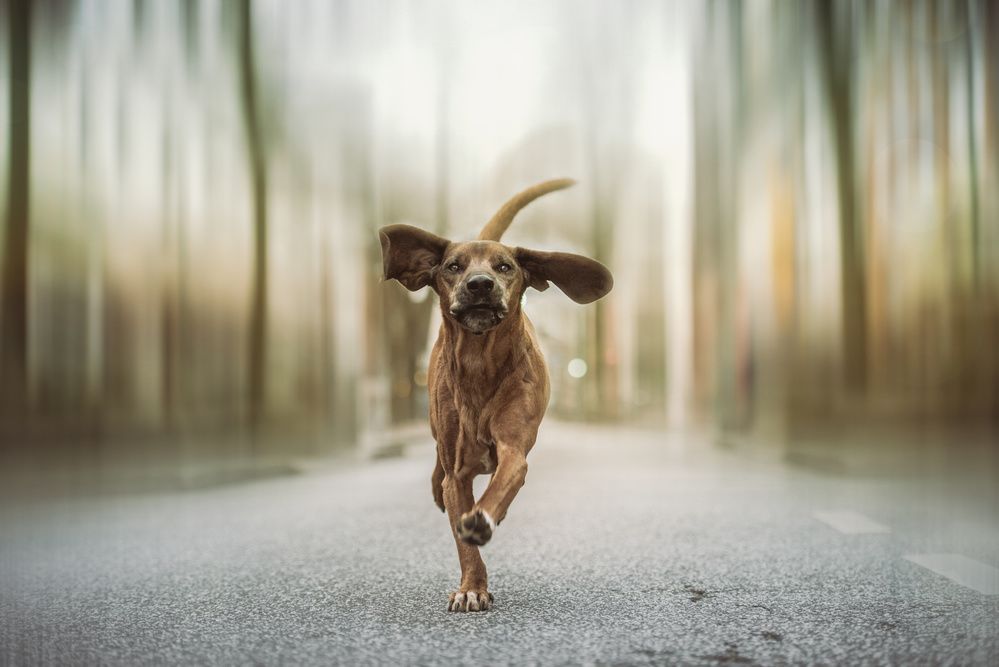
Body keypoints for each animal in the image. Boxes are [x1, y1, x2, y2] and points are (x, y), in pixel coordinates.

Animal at [378, 180, 612, 612]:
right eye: (453, 266)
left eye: (505, 267)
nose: (480, 284)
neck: (479, 365)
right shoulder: (458, 472)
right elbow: (462, 536)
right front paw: (472, 585)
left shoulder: (514, 448)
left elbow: (500, 486)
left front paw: (483, 519)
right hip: (438, 434)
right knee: (437, 467)